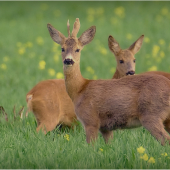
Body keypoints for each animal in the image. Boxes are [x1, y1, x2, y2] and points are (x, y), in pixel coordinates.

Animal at [46, 17, 170, 145]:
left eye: (77, 49)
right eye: (62, 48)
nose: (68, 60)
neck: (80, 88)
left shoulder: (90, 120)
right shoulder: (106, 128)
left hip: (151, 114)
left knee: (165, 139)